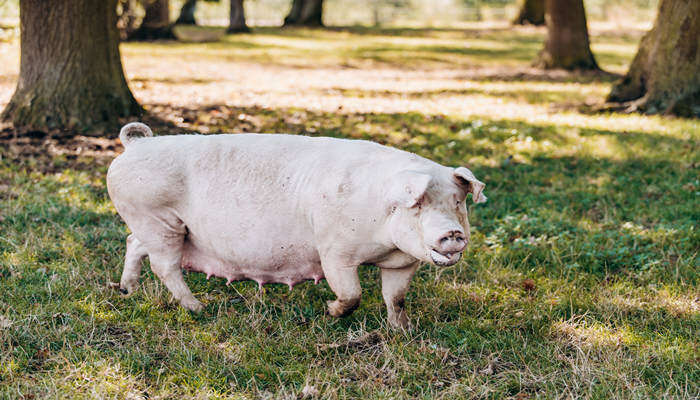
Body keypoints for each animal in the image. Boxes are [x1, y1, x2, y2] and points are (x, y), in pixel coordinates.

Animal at [106, 122, 486, 328]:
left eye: (457, 201)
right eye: (418, 204)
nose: (452, 233)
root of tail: (136, 144)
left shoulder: (401, 263)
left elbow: (397, 297)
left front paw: (401, 330)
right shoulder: (334, 250)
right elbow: (352, 294)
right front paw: (330, 311)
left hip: (154, 226)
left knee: (132, 243)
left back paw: (127, 290)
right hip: (158, 220)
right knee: (164, 266)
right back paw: (199, 309)